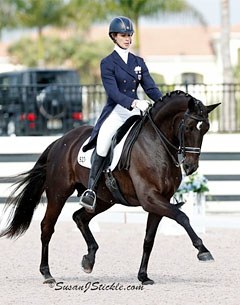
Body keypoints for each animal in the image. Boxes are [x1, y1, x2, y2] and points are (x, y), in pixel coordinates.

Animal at [0, 90, 219, 284]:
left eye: (206, 128)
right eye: (189, 127)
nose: (190, 167)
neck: (157, 143)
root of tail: (60, 141)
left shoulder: (159, 202)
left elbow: (149, 240)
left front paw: (143, 276)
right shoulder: (150, 199)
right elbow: (182, 217)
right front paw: (203, 250)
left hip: (104, 199)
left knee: (79, 217)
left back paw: (89, 260)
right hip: (58, 194)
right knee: (47, 227)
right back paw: (47, 274)